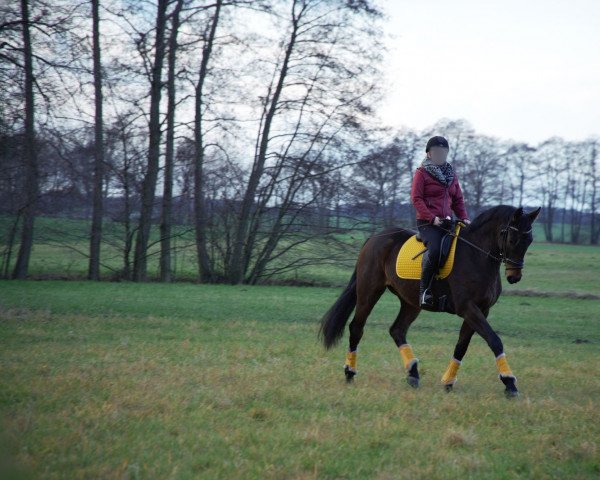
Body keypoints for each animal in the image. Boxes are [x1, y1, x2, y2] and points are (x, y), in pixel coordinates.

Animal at [322, 204, 540, 396]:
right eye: (512, 239)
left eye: (529, 240)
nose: (514, 276)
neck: (476, 254)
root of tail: (374, 238)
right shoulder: (468, 308)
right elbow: (494, 340)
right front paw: (509, 383)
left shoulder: (481, 310)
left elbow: (461, 346)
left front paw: (448, 382)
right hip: (369, 291)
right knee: (356, 328)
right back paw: (350, 373)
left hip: (411, 302)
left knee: (397, 330)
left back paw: (413, 373)